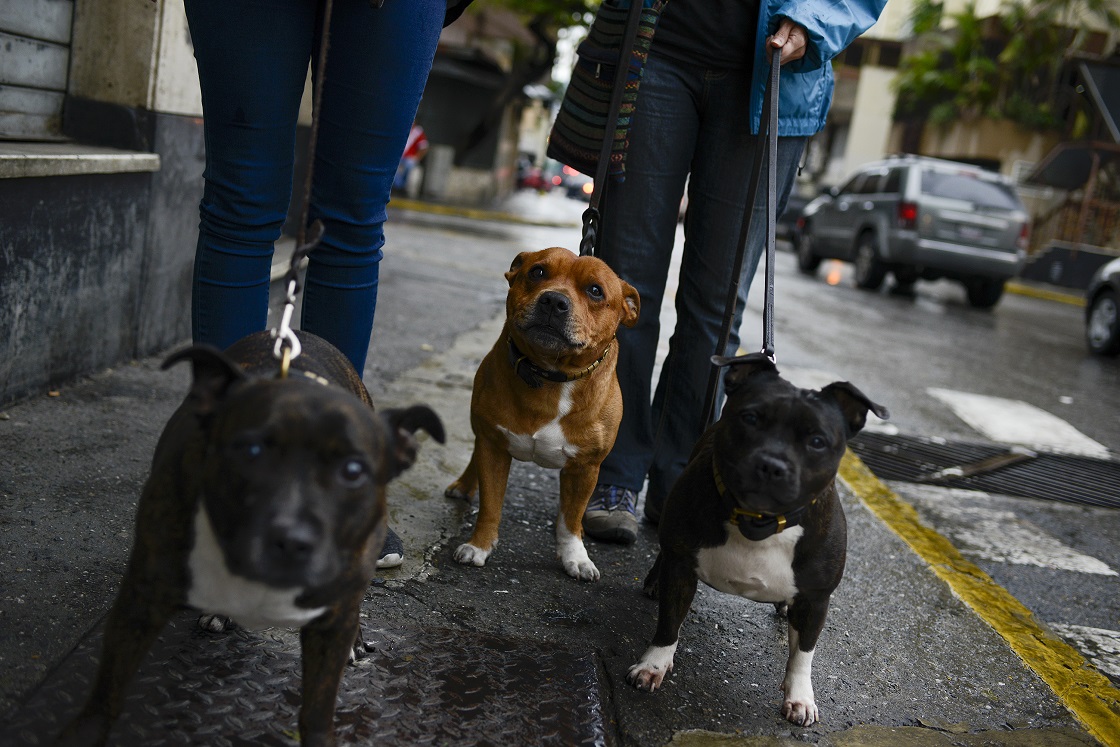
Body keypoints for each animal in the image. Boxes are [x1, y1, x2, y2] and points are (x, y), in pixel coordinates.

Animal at [445, 248, 640, 582]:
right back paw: (464, 485)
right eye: (537, 272)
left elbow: (572, 519)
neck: (552, 374)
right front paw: (479, 546)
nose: (554, 301)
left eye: (595, 290)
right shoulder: (493, 446)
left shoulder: (586, 468)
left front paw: (576, 557)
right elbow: (491, 505)